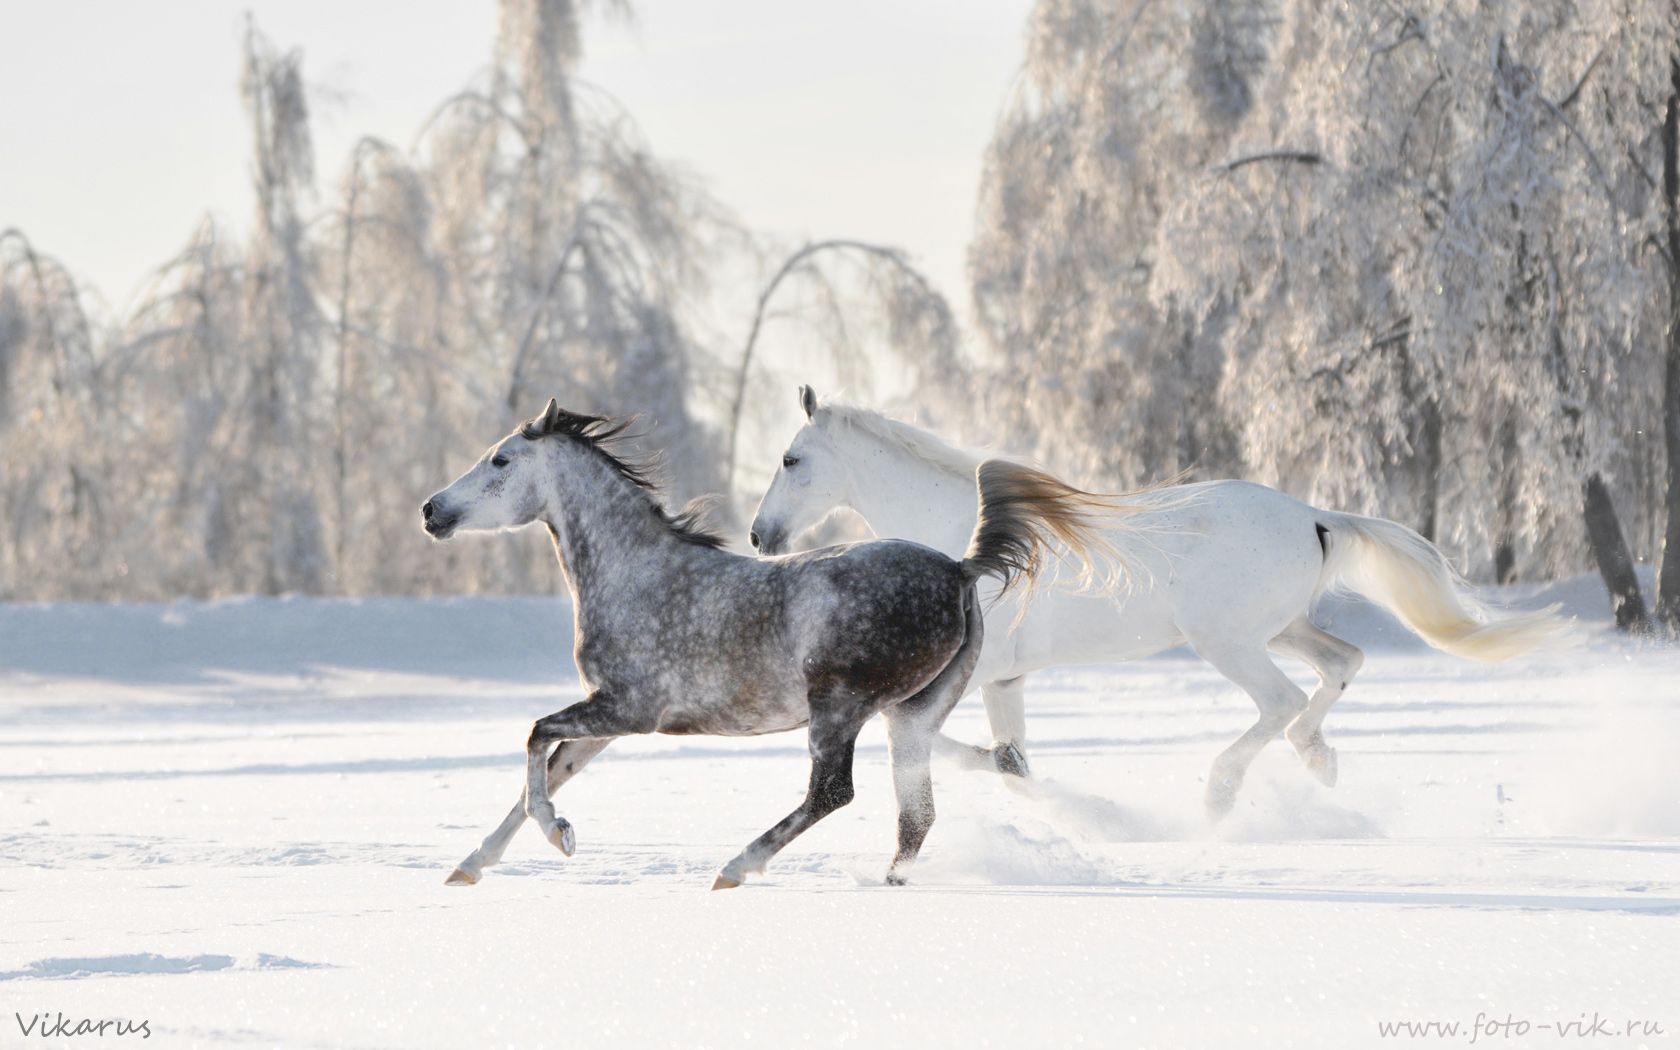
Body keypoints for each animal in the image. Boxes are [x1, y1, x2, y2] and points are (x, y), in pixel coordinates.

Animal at [420, 396, 1115, 887]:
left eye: (500, 460)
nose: (431, 511)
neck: (635, 572)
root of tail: (960, 570)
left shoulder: (627, 710)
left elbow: (536, 739)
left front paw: (558, 836)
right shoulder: (608, 718)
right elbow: (549, 770)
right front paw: (472, 865)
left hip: (837, 709)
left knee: (833, 792)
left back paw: (735, 868)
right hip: (911, 717)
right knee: (916, 815)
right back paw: (884, 881)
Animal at [749, 386, 1559, 819]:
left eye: (791, 458)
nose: (759, 535)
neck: (962, 545)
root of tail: (1314, 517)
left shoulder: (974, 677)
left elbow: (940, 744)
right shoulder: (1007, 680)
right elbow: (1012, 760)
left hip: (1227, 643)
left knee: (1283, 700)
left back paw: (1221, 793)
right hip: (1281, 629)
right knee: (1341, 665)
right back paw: (1318, 762)